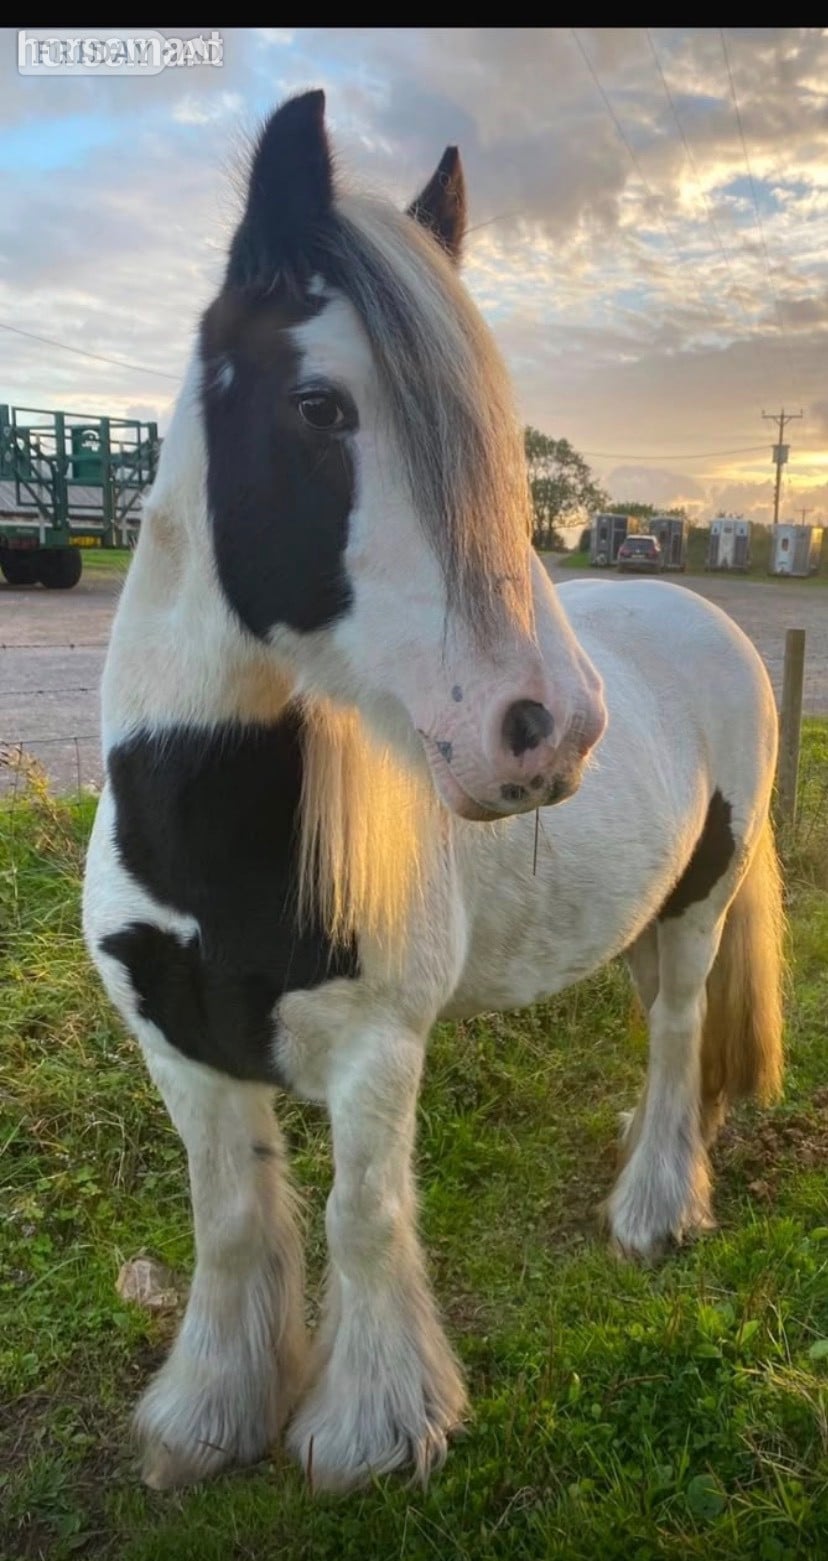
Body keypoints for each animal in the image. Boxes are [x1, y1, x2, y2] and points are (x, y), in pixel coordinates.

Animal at [83, 89, 784, 1493]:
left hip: (702, 906)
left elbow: (361, 1219)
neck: (206, 844)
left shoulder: (377, 1046)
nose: (548, 729)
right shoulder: (178, 1042)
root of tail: (707, 617)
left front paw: (368, 1430)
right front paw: (208, 1417)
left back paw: (654, 1203)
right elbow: (229, 1221)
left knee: (681, 1032)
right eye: (319, 408)